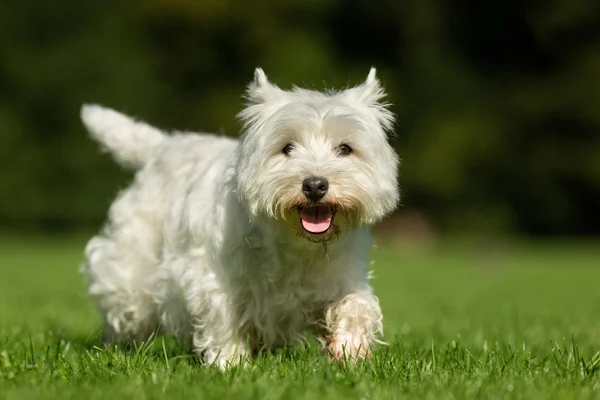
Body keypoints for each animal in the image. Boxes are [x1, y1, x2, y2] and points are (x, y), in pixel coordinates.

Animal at [78, 66, 398, 368]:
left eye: (345, 148)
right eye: (287, 148)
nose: (315, 185)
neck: (296, 245)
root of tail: (162, 146)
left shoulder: (343, 276)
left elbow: (356, 305)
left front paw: (349, 350)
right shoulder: (216, 279)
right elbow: (224, 321)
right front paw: (230, 365)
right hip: (132, 270)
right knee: (125, 312)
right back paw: (116, 351)